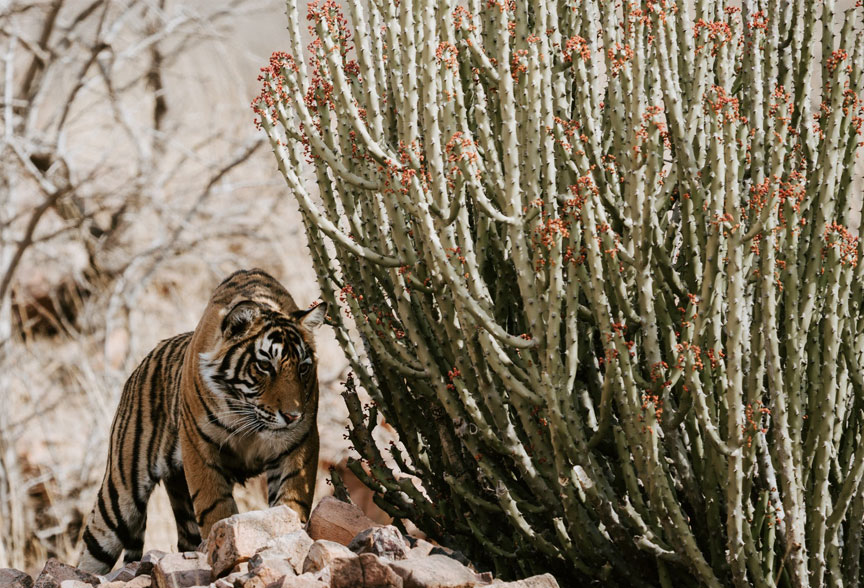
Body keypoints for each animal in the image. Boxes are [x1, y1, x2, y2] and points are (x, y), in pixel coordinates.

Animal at [77, 268, 326, 572]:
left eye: (303, 368)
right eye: (265, 365)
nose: (292, 416)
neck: (247, 415)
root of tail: (138, 367)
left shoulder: (300, 445)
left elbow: (291, 503)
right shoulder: (199, 448)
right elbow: (216, 509)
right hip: (120, 494)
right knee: (92, 551)